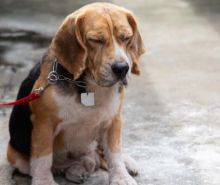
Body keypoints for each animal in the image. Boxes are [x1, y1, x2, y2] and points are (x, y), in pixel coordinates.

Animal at [6, 2, 144, 185]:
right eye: (96, 40)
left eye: (126, 37)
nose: (122, 68)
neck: (89, 85)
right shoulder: (43, 125)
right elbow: (43, 159)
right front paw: (44, 181)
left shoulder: (113, 120)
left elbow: (114, 153)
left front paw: (121, 177)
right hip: (14, 155)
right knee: (67, 163)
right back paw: (77, 169)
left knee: (100, 154)